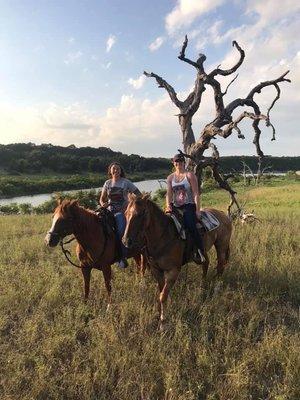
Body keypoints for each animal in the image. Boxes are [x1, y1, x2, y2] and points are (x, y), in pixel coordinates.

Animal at [122, 194, 232, 328]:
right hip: (204, 249)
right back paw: (202, 286)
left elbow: (163, 296)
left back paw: (216, 290)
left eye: (140, 214)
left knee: (220, 266)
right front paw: (163, 312)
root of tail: (222, 214)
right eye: (126, 213)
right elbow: (161, 292)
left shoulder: (173, 271)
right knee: (206, 263)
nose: (126, 241)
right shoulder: (156, 271)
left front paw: (163, 322)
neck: (163, 237)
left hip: (221, 246)